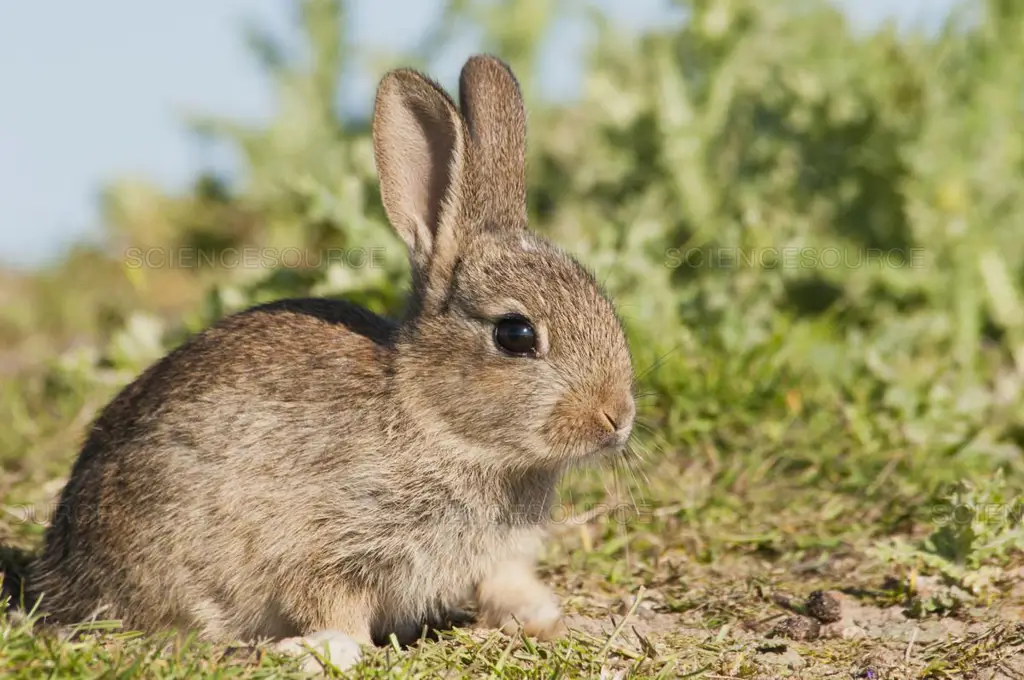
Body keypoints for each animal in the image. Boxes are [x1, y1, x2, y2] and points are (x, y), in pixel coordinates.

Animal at [28, 54, 634, 675]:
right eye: (516, 335)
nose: (618, 417)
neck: (436, 420)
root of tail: (62, 564)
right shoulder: (324, 542)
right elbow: (332, 603)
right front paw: (327, 648)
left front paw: (544, 619)